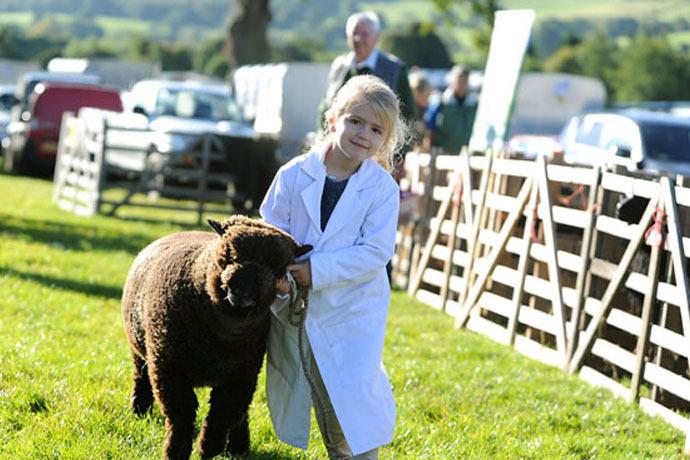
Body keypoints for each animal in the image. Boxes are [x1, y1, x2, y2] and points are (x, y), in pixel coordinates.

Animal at [121, 216, 310, 460]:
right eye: (229, 255)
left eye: (277, 269)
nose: (241, 292)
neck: (222, 336)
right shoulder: (169, 368)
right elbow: (182, 415)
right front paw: (176, 452)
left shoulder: (242, 375)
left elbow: (223, 415)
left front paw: (208, 449)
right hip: (140, 350)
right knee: (141, 377)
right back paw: (139, 411)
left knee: (241, 412)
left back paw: (238, 448)